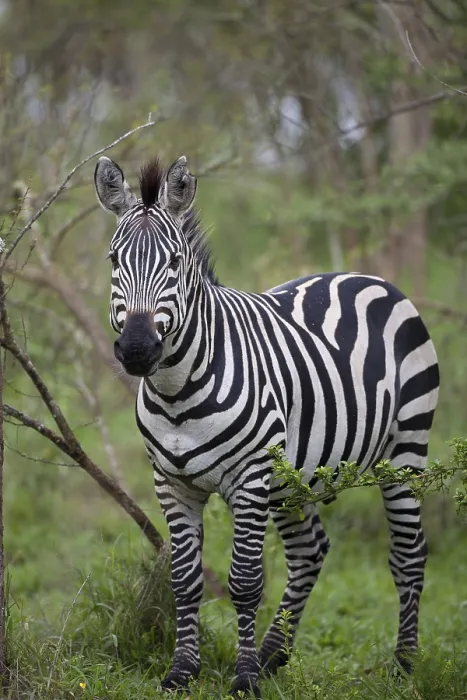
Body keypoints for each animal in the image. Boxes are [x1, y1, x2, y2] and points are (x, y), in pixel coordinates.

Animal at [94, 154, 439, 698]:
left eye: (174, 263)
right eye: (113, 261)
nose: (136, 350)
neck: (176, 390)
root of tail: (367, 277)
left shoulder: (250, 479)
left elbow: (244, 582)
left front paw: (244, 679)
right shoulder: (171, 483)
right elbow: (185, 580)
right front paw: (183, 672)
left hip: (404, 452)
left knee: (408, 554)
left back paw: (403, 664)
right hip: (293, 479)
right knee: (310, 551)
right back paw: (275, 653)